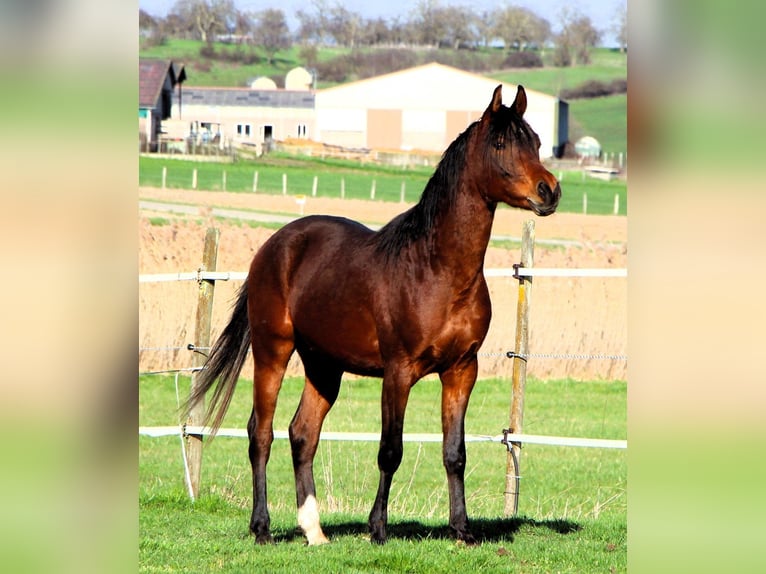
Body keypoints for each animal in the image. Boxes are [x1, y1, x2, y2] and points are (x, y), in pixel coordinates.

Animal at [185, 84, 561, 546]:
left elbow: (454, 452)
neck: (437, 268)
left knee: (302, 434)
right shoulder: (398, 371)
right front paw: (378, 528)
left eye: (537, 142)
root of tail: (274, 246)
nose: (549, 191)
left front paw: (462, 530)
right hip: (272, 351)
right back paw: (262, 528)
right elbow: (390, 450)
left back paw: (314, 531)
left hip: (323, 366)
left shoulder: (461, 370)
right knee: (261, 432)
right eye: (502, 143)